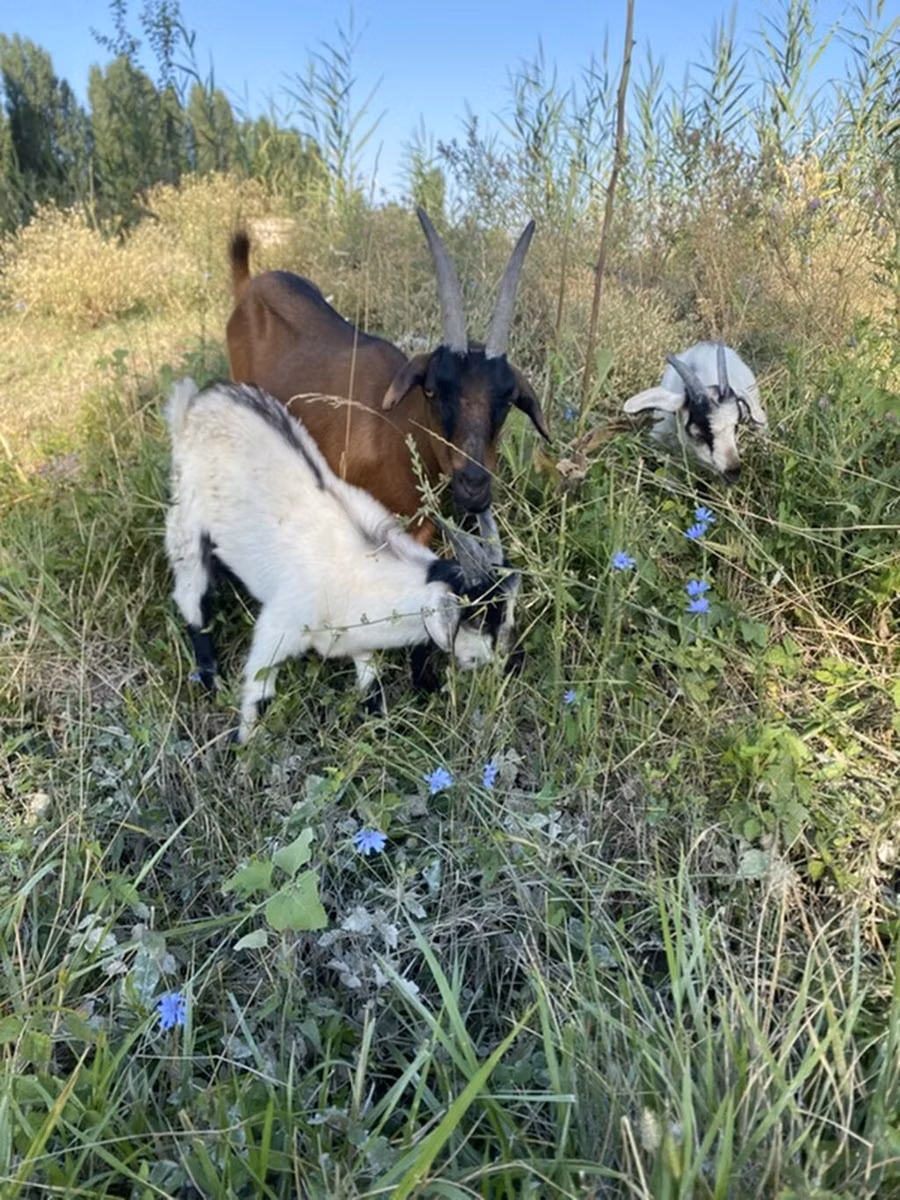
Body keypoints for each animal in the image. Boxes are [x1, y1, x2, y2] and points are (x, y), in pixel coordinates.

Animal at [164, 378, 518, 742]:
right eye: (478, 618)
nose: (509, 665)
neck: (361, 565)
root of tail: (197, 400)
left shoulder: (355, 636)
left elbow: (371, 681)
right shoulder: (277, 628)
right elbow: (259, 690)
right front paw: (248, 745)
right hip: (186, 518)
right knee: (191, 594)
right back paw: (210, 679)